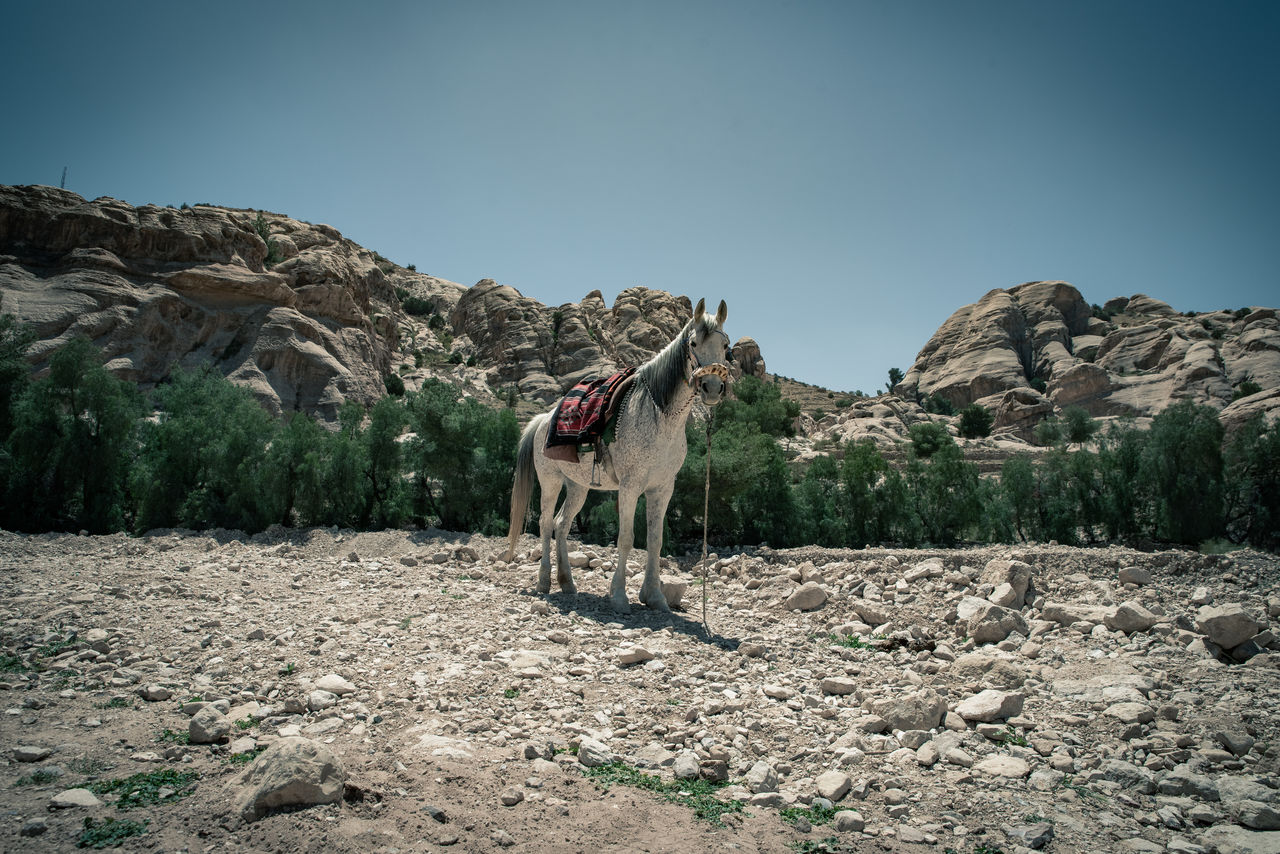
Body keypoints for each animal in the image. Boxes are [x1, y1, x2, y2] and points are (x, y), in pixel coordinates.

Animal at [504, 299, 737, 614]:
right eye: (693, 343)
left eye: (725, 346)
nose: (712, 388)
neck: (661, 417)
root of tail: (543, 419)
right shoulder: (630, 487)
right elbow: (626, 539)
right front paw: (619, 596)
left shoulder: (662, 489)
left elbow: (655, 541)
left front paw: (655, 597)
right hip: (550, 482)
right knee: (544, 523)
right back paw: (544, 583)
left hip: (578, 487)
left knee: (561, 524)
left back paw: (567, 583)